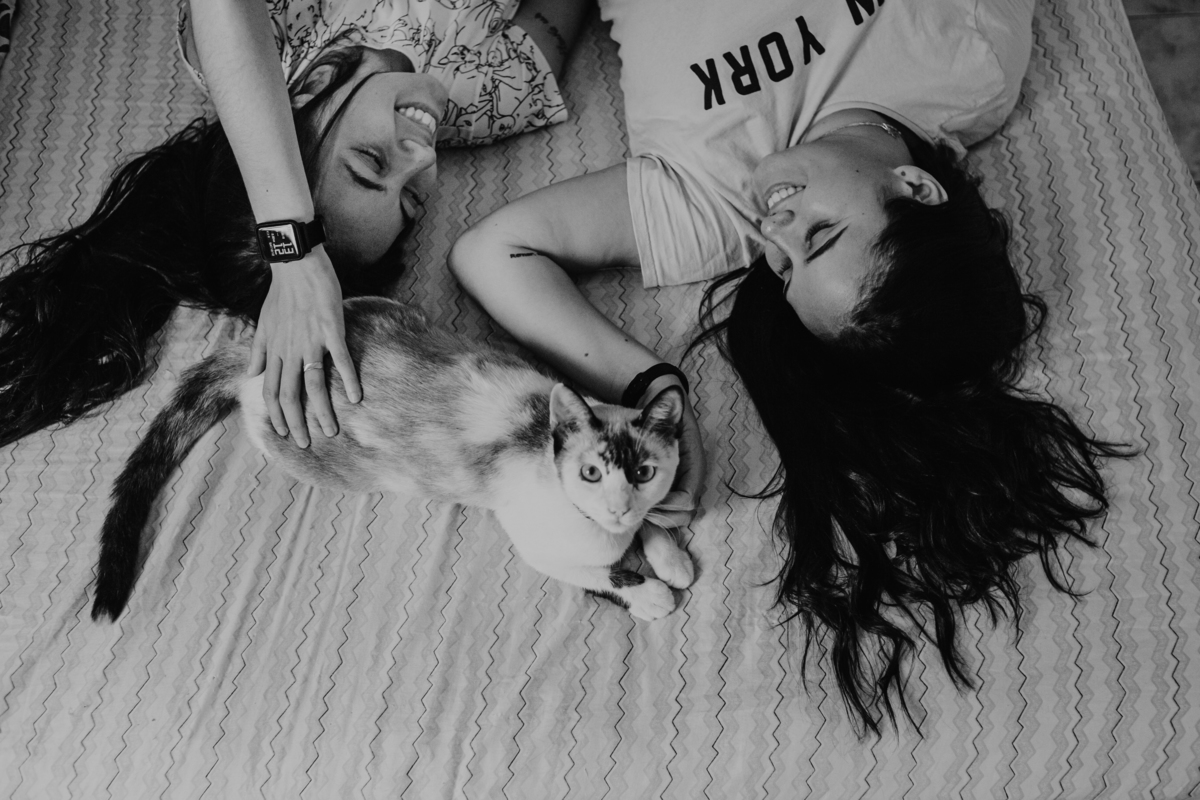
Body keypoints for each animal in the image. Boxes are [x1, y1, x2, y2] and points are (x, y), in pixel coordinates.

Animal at [91, 296, 695, 622]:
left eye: (643, 473)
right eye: (590, 473)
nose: (617, 507)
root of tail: (259, 354)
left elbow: (654, 523)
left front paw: (669, 555)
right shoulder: (535, 540)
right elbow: (598, 573)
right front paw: (651, 593)